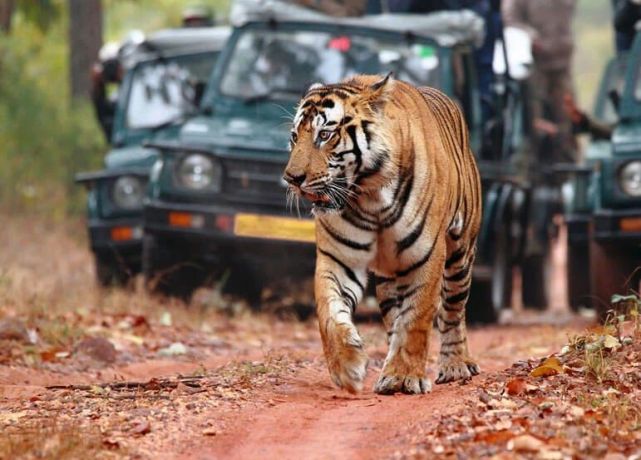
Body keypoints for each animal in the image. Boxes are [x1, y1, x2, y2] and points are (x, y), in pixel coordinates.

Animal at [282, 73, 478, 394]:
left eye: (325, 135)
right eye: (294, 137)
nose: (291, 179)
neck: (369, 196)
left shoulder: (426, 256)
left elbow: (416, 318)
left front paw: (404, 377)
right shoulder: (338, 259)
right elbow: (329, 312)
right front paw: (347, 367)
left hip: (460, 254)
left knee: (453, 311)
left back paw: (456, 366)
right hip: (389, 279)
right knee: (394, 317)